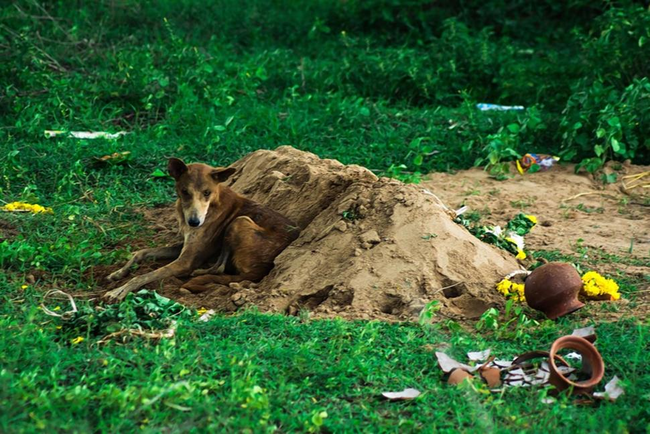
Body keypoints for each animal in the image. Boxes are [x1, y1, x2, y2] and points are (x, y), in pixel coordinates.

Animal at [102, 158, 300, 304]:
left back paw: (199, 273)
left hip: (239, 221)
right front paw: (118, 273)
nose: (194, 222)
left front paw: (119, 291)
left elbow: (144, 276)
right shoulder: (185, 245)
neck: (212, 205)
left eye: (207, 192)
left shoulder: (186, 261)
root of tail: (264, 270)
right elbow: (141, 252)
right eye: (184, 192)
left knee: (220, 269)